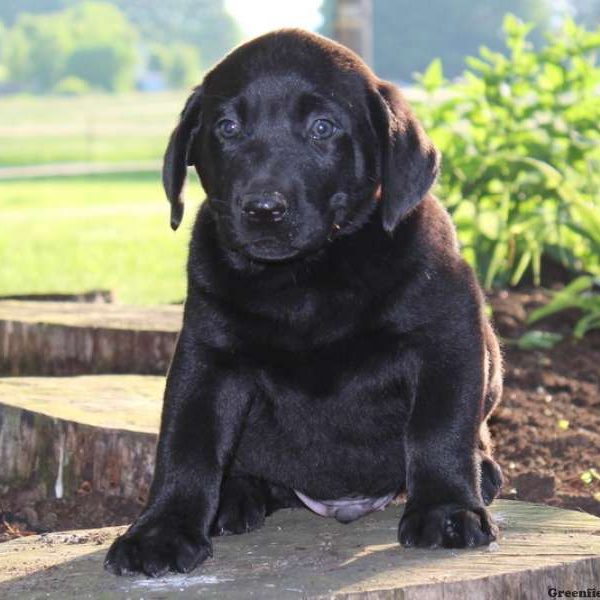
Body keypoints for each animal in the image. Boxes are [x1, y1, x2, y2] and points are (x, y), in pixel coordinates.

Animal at [105, 28, 504, 576]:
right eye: (227, 127)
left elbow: (439, 426)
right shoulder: (207, 356)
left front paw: (446, 510)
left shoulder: (448, 331)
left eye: (322, 128)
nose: (262, 209)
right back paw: (233, 496)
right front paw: (160, 531)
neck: (305, 279)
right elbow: (185, 443)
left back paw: (482, 473)